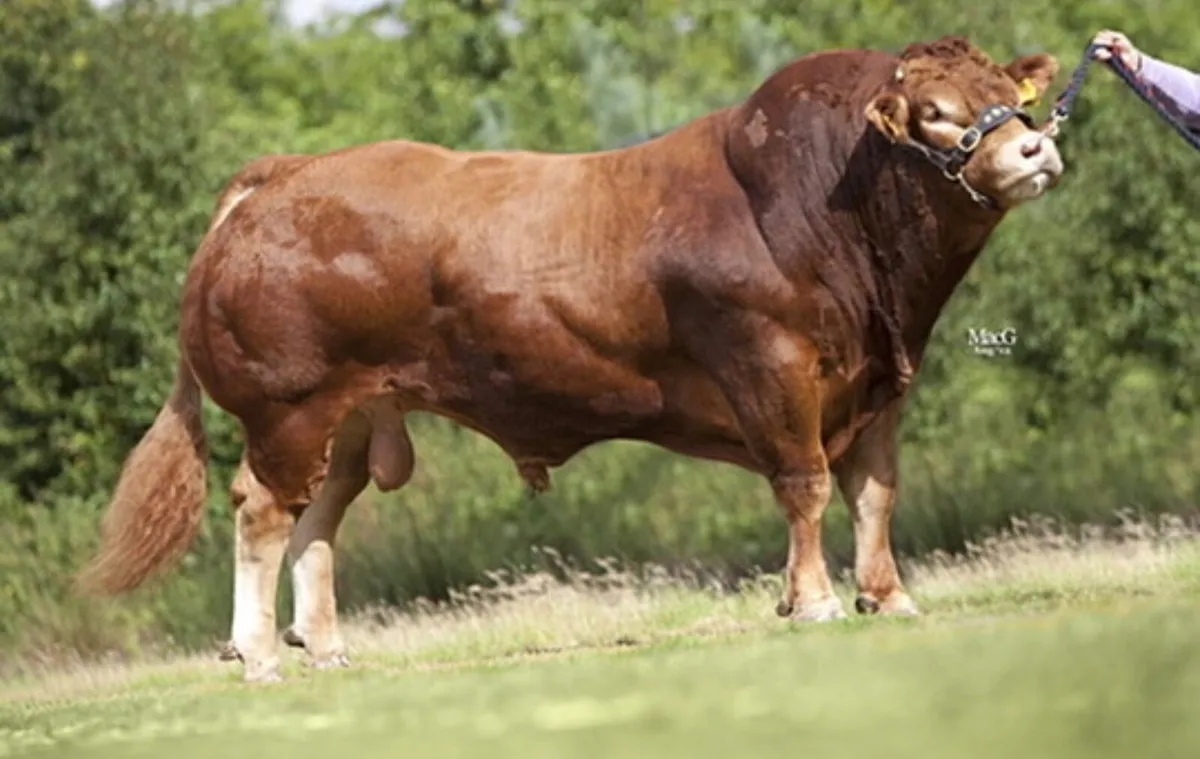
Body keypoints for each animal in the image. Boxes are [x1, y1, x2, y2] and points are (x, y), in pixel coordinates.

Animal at [76, 35, 1064, 683]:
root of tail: (283, 176)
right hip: (289, 407)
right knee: (259, 512)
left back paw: (323, 645)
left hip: (350, 416)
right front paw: (814, 600)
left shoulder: (877, 384)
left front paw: (887, 596)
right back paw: (256, 654)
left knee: (316, 518)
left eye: (1007, 93)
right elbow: (807, 484)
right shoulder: (772, 369)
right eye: (933, 115)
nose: (1034, 145)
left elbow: (874, 493)